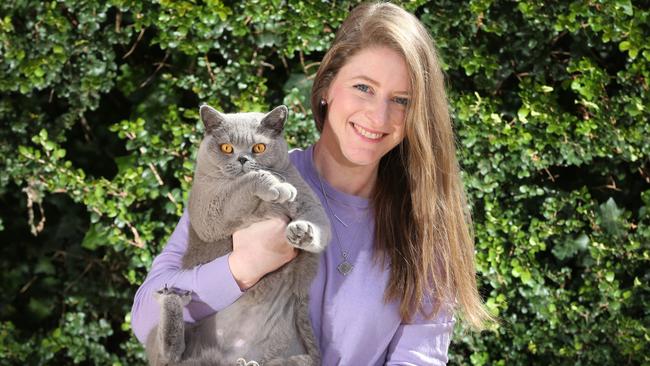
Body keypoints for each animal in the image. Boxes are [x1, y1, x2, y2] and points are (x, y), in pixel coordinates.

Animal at [147, 104, 330, 364]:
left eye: (259, 147)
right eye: (226, 147)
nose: (243, 158)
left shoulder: (308, 199)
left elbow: (320, 223)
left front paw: (302, 232)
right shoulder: (208, 207)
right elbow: (242, 185)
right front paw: (275, 185)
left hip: (297, 356)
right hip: (155, 333)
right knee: (169, 355)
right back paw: (171, 297)